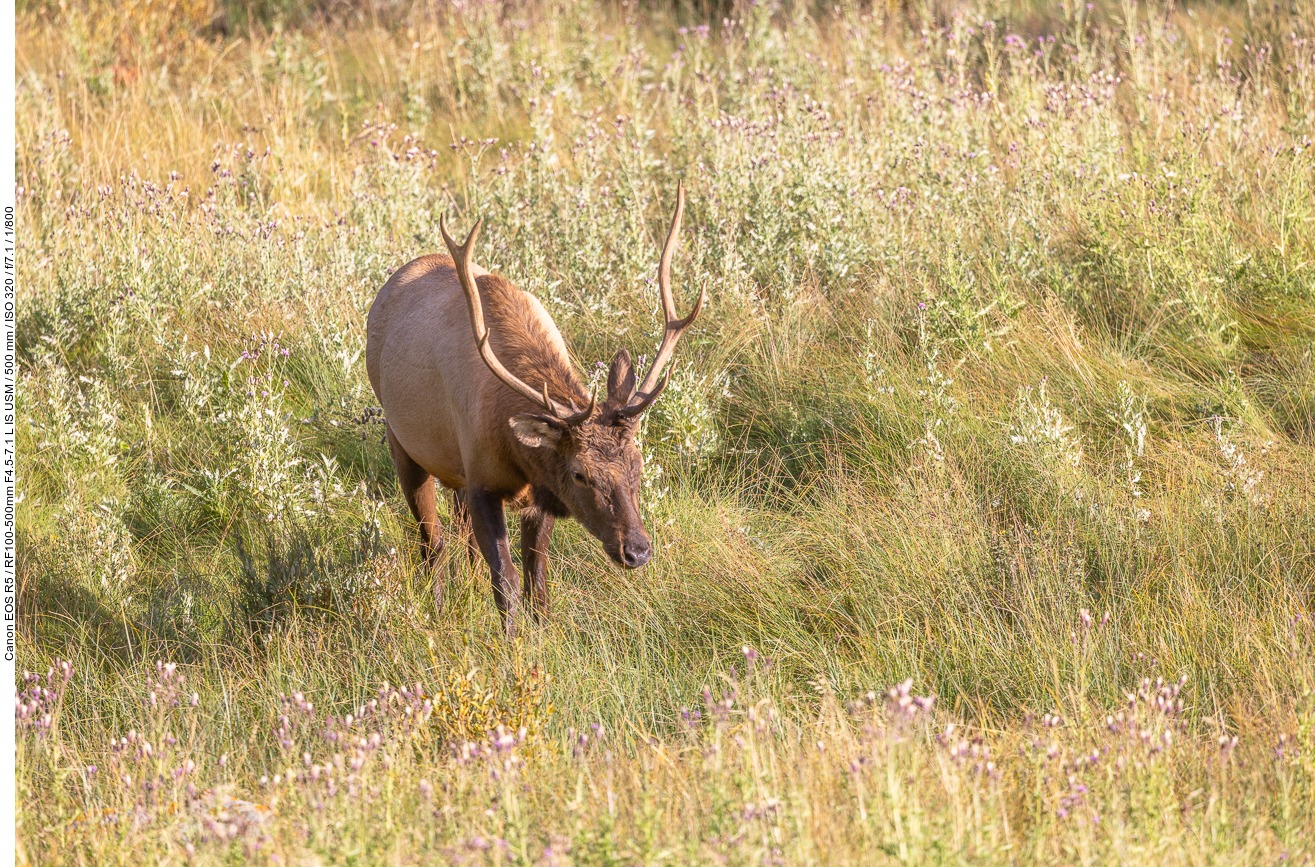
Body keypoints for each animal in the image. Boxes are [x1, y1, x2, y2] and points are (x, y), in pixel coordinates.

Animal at [365, 186, 704, 636]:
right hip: (402, 441)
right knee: (432, 542)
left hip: (453, 469)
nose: (636, 551)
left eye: (638, 464)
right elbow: (506, 581)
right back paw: (438, 611)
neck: (518, 454)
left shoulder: (537, 493)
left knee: (461, 537)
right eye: (580, 473)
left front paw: (542, 634)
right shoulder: (483, 481)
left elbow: (536, 579)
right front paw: (513, 644)